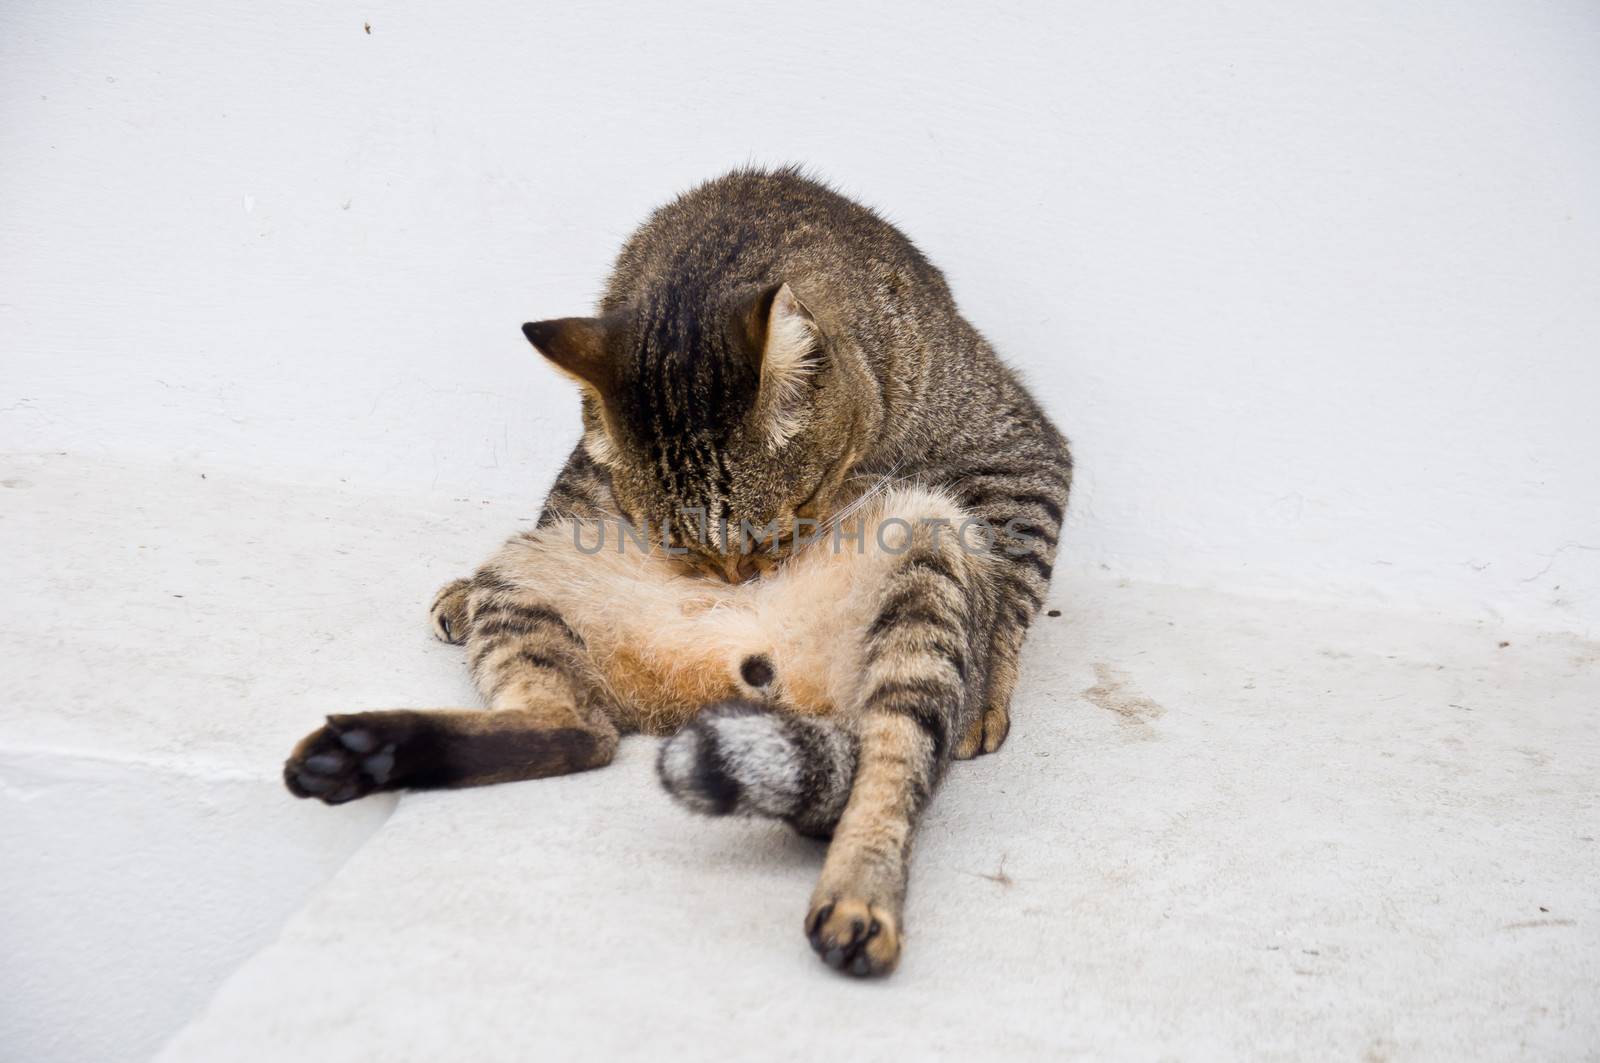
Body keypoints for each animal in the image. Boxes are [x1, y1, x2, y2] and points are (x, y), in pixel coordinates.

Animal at [284, 168, 1075, 979]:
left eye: (795, 512)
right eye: (682, 547)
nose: (739, 581)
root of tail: (715, 685)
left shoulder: (1019, 451)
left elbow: (1015, 573)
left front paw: (987, 693)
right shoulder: (586, 468)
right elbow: (565, 495)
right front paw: (459, 591)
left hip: (928, 572)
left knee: (890, 763)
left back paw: (857, 904)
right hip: (527, 580)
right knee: (584, 731)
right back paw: (362, 753)